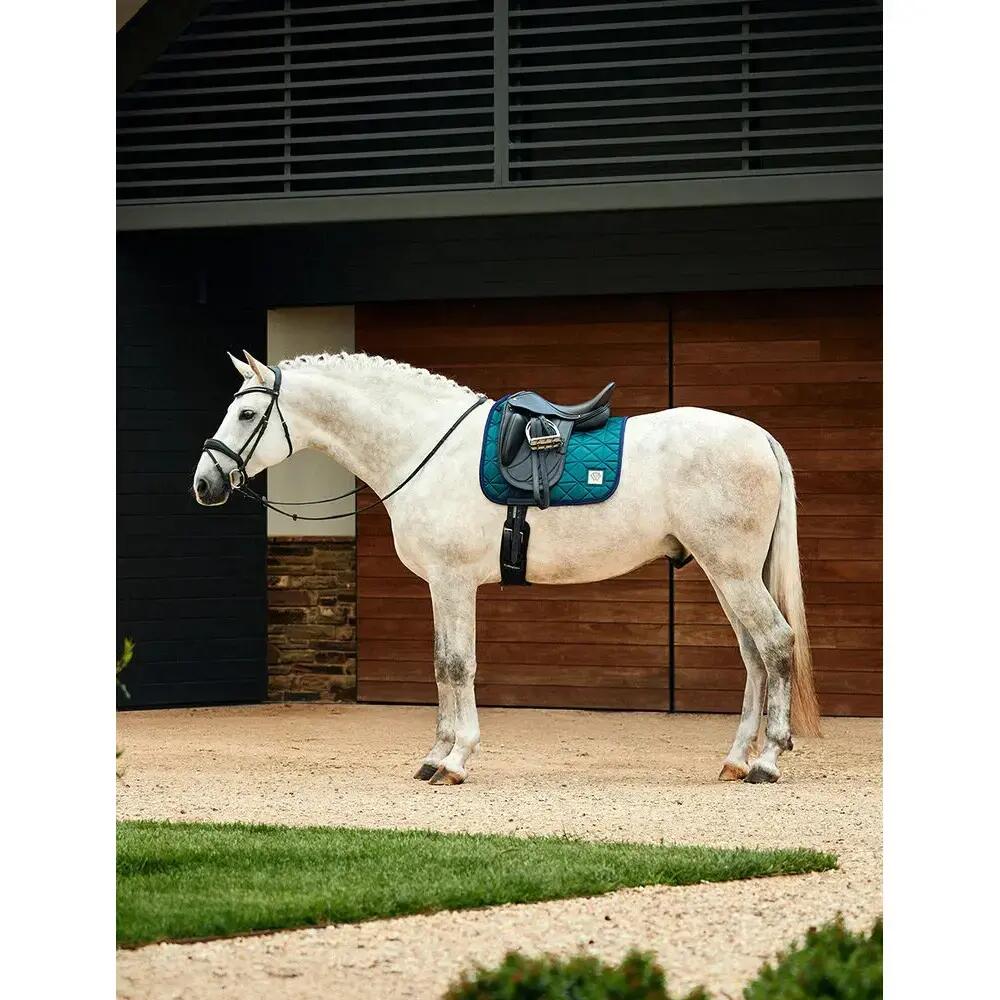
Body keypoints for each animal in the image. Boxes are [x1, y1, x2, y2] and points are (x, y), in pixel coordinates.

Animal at [193, 349, 821, 786]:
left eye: (246, 412)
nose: (205, 483)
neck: (426, 448)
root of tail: (759, 437)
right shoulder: (441, 585)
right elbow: (442, 666)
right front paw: (434, 756)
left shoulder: (452, 581)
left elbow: (456, 665)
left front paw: (455, 760)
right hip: (727, 574)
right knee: (754, 657)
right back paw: (735, 759)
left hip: (732, 572)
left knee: (775, 644)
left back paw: (767, 760)